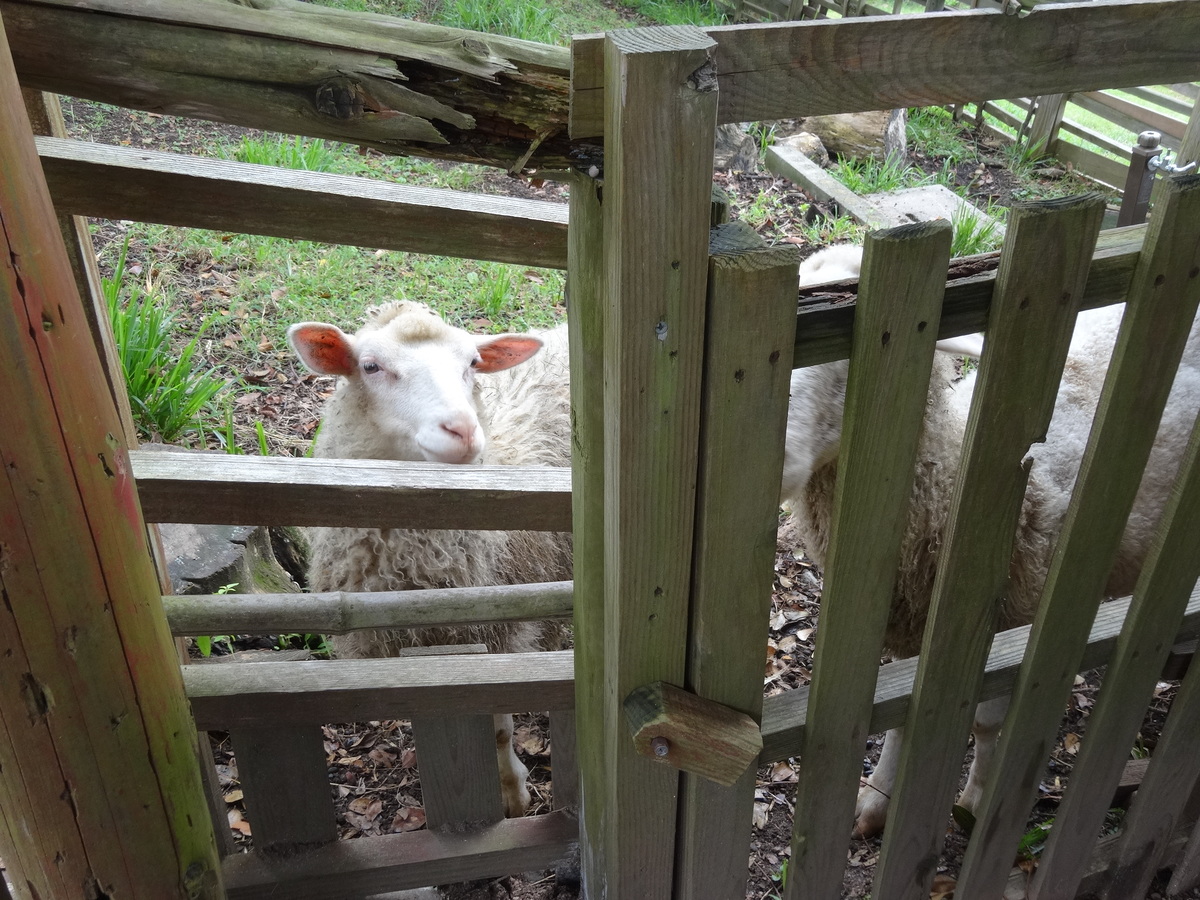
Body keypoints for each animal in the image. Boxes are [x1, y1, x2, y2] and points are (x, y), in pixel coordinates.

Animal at [289, 300, 571, 820]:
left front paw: (511, 793)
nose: (462, 429)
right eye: (370, 366)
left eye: (472, 363)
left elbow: (498, 728)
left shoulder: (498, 633)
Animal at [787, 244, 1200, 840]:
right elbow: (899, 713)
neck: (954, 474)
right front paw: (877, 799)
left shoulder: (1012, 623)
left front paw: (976, 801)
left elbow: (984, 723)